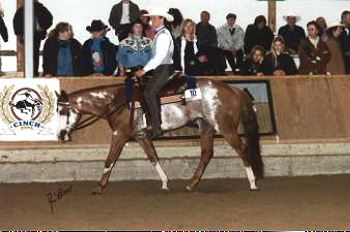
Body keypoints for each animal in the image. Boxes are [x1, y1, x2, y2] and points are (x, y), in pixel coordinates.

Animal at [56, 75, 264, 194]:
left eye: (63, 112)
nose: (60, 135)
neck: (117, 101)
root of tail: (234, 90)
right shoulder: (141, 137)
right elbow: (153, 158)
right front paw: (165, 182)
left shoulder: (120, 134)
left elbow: (110, 160)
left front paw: (99, 187)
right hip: (206, 127)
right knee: (206, 154)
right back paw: (191, 184)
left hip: (225, 127)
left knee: (242, 148)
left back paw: (253, 182)